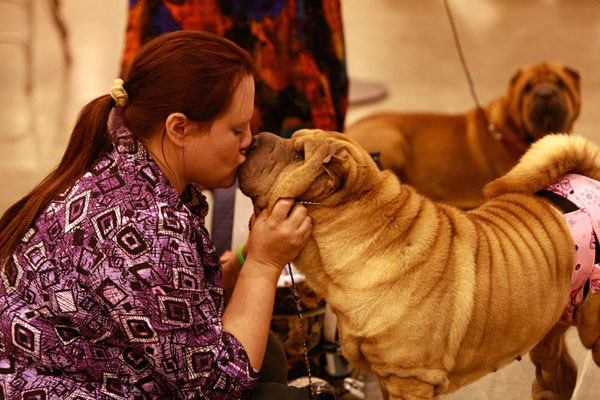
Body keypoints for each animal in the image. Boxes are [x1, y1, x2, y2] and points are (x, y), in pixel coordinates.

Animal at [240, 130, 600, 400]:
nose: (253, 138)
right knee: (558, 373)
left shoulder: (410, 379)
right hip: (549, 325)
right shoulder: (387, 377)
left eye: (299, 155)